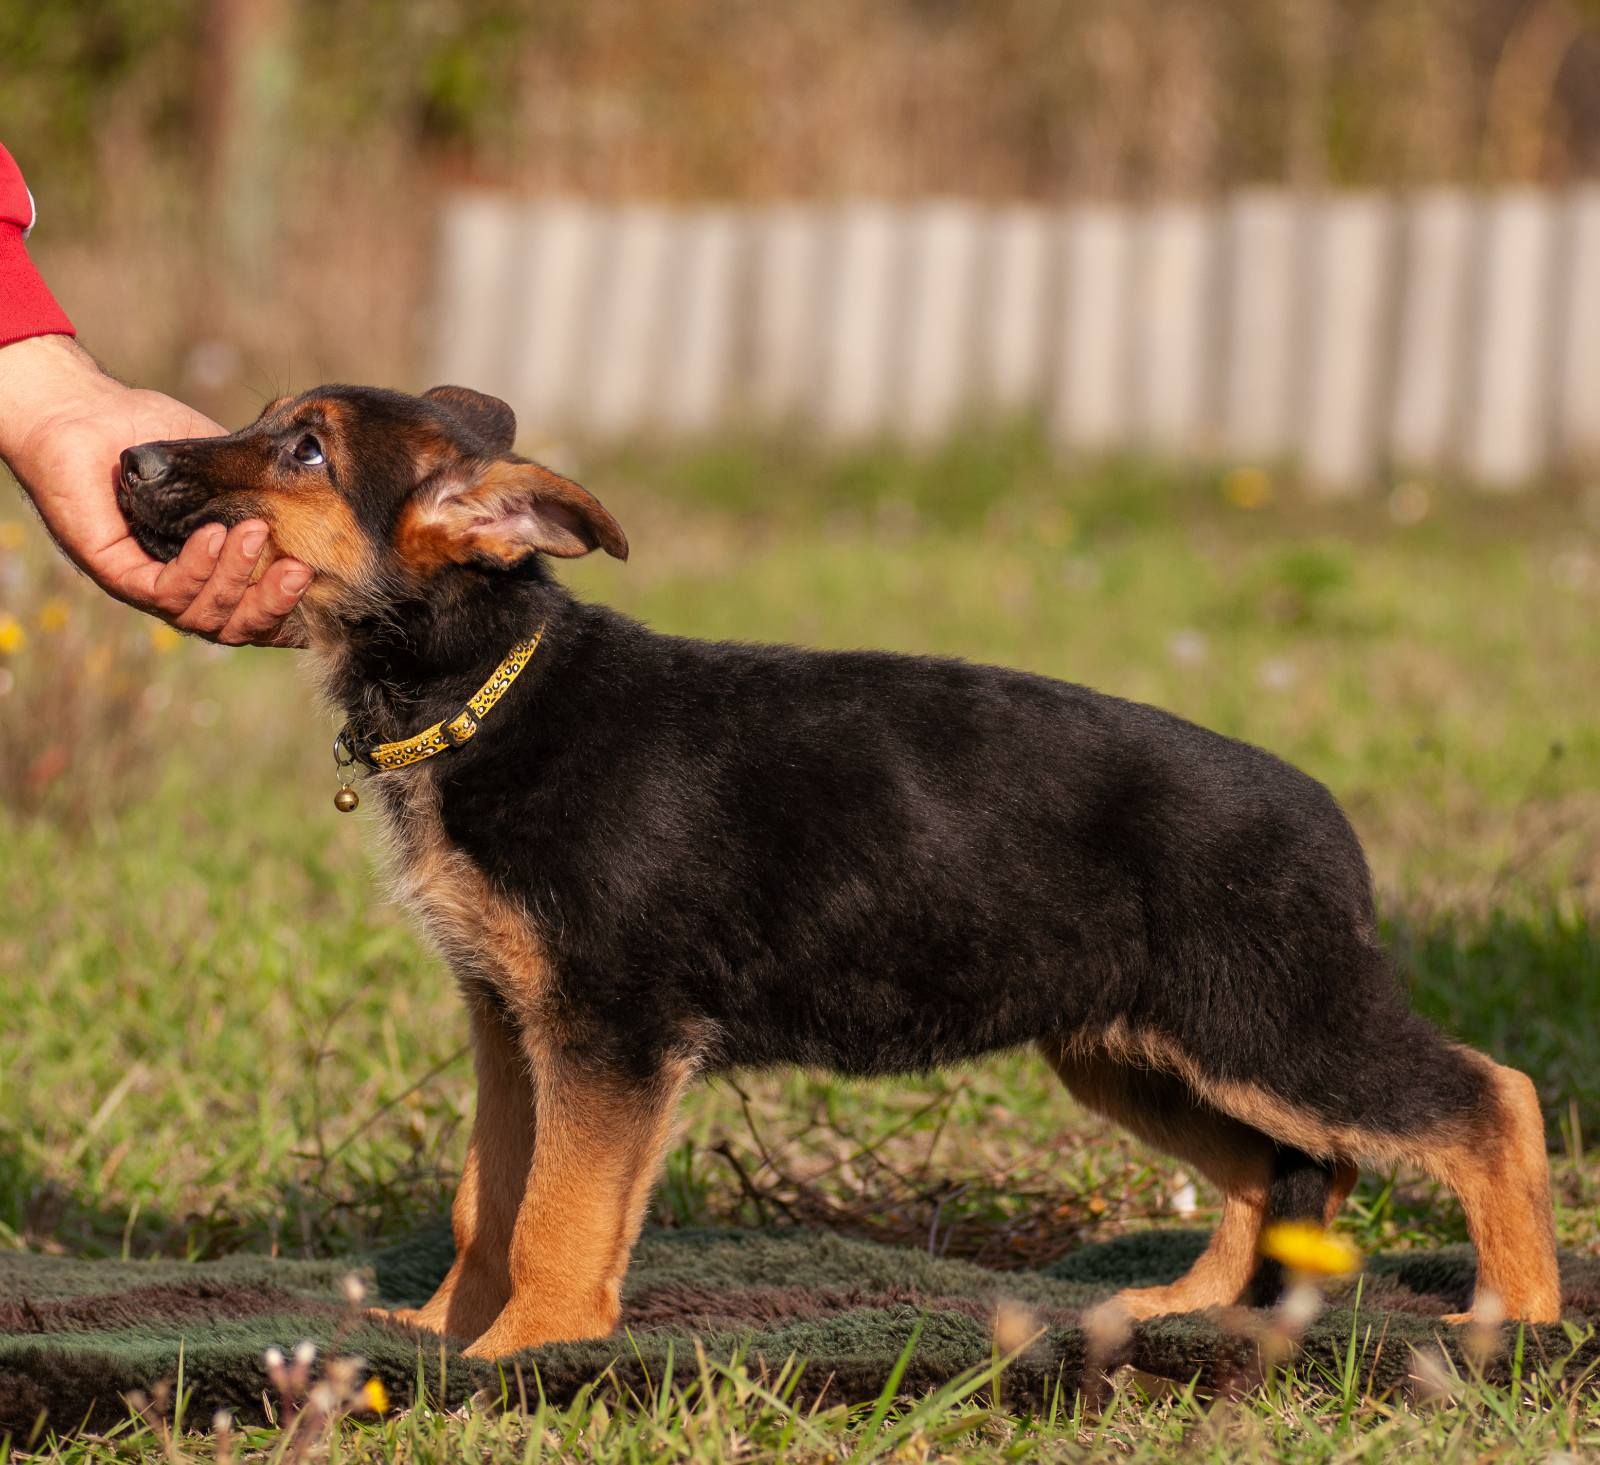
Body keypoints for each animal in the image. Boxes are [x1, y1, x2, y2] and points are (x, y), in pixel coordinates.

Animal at [116, 383, 1561, 1356]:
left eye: (304, 447)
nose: (131, 455)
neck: (485, 687)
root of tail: (1327, 814)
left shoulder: (608, 1037)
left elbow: (555, 1215)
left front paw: (531, 1356)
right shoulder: (511, 1027)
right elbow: (490, 1199)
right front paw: (440, 1343)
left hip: (1273, 1022)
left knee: (1490, 1099)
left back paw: (1520, 1317)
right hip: (1141, 1045)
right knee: (1278, 1164)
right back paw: (1186, 1312)